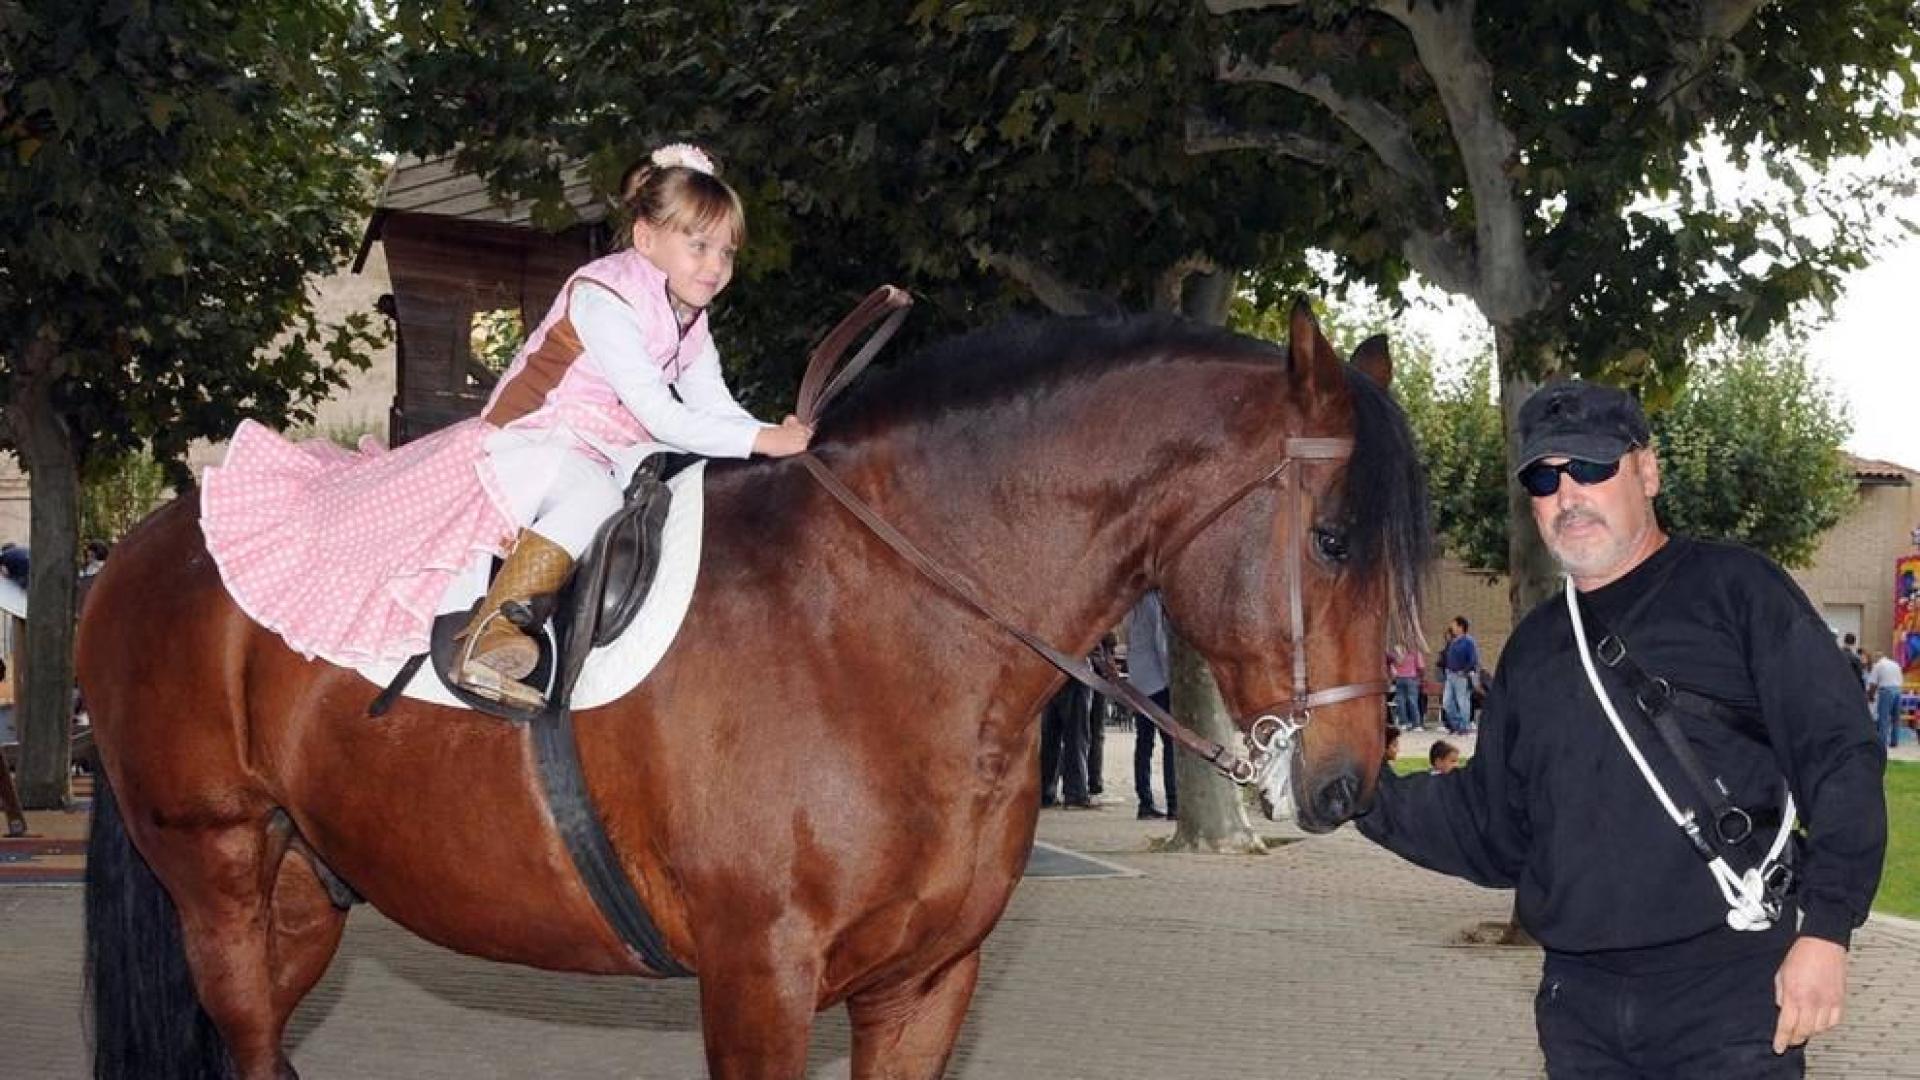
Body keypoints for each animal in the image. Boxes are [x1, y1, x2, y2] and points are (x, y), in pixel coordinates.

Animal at [78, 301, 1430, 1080]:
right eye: (1332, 540)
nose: (1352, 782)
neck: (880, 622)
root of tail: (142, 547)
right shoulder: (759, 988)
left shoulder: (924, 988)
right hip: (215, 875)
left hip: (302, 889)